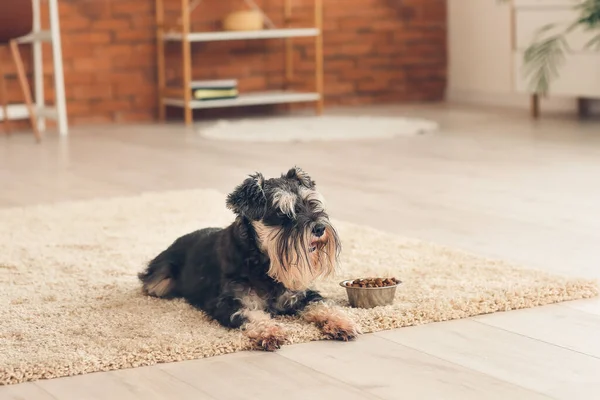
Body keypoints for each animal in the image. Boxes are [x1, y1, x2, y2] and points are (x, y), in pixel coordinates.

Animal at [138, 166, 358, 350]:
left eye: (312, 203)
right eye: (281, 212)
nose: (319, 228)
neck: (263, 262)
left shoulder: (300, 294)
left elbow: (322, 305)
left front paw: (342, 322)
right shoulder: (230, 302)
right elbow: (252, 315)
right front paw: (270, 332)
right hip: (160, 280)